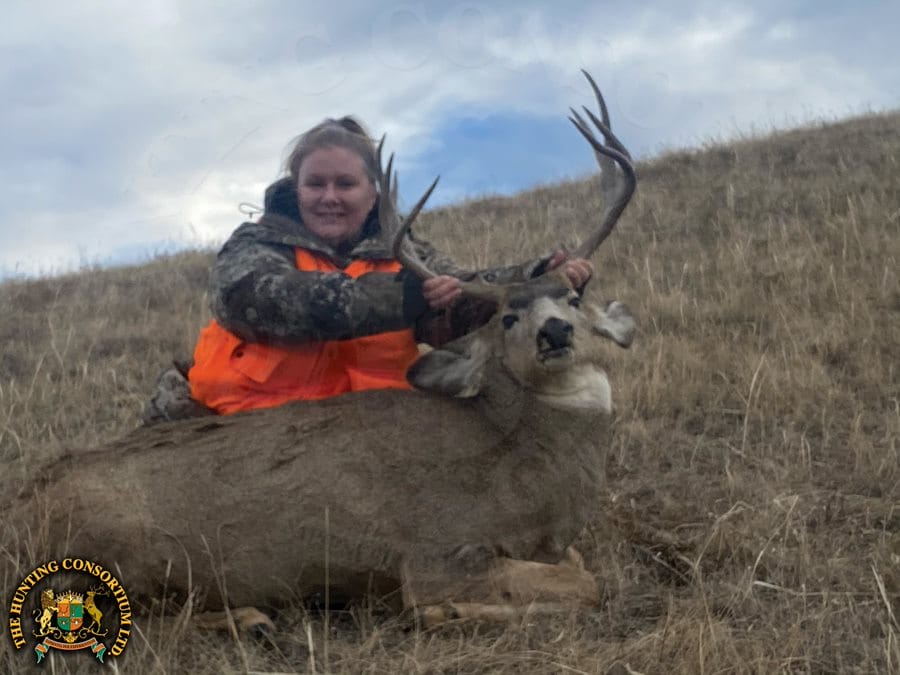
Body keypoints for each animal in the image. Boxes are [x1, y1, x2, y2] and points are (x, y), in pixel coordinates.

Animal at [1, 71, 636, 633]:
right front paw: (444, 613)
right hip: (124, 554)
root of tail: (18, 517)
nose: (555, 333)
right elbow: (585, 585)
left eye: (573, 297)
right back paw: (251, 618)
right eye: (507, 317)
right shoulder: (439, 550)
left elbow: (579, 567)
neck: (523, 466)